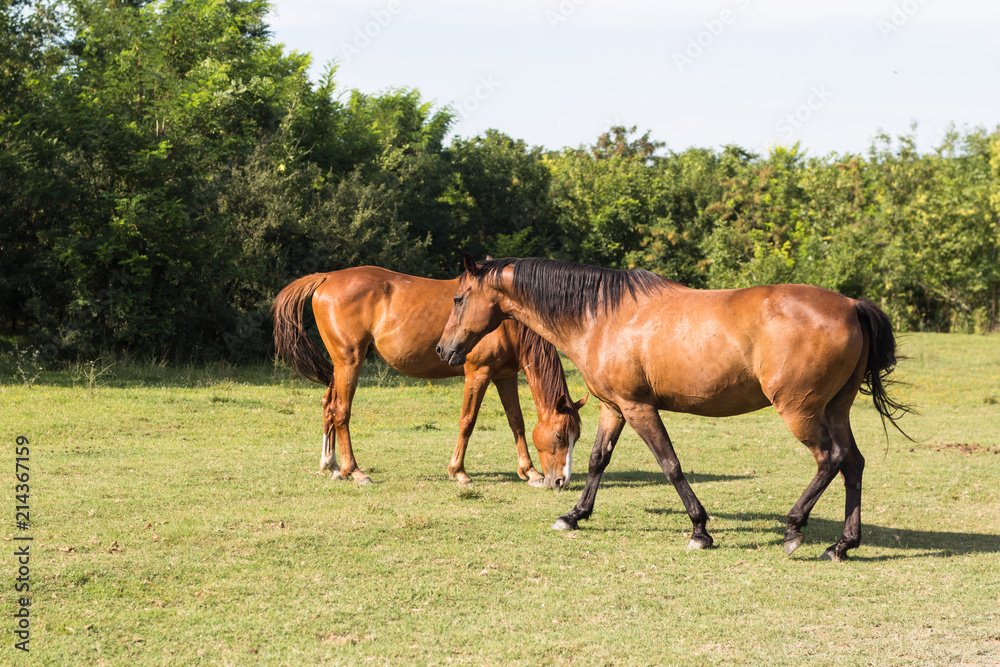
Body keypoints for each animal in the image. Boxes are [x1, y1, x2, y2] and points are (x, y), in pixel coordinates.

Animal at [272, 266, 584, 490]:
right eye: (559, 435)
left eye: (576, 436)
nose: (561, 481)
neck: (506, 320)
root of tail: (327, 278)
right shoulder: (478, 374)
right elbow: (468, 421)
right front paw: (459, 472)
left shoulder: (505, 377)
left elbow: (516, 422)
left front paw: (529, 471)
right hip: (349, 363)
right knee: (341, 411)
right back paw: (355, 471)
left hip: (340, 367)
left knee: (328, 405)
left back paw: (332, 466)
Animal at [436, 258, 908, 560]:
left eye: (458, 298)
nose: (444, 349)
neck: (601, 316)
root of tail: (851, 306)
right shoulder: (614, 408)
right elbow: (597, 460)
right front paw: (574, 515)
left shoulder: (639, 408)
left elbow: (670, 464)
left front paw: (700, 530)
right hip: (835, 410)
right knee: (853, 463)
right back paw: (843, 545)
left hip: (800, 412)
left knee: (830, 459)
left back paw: (794, 528)